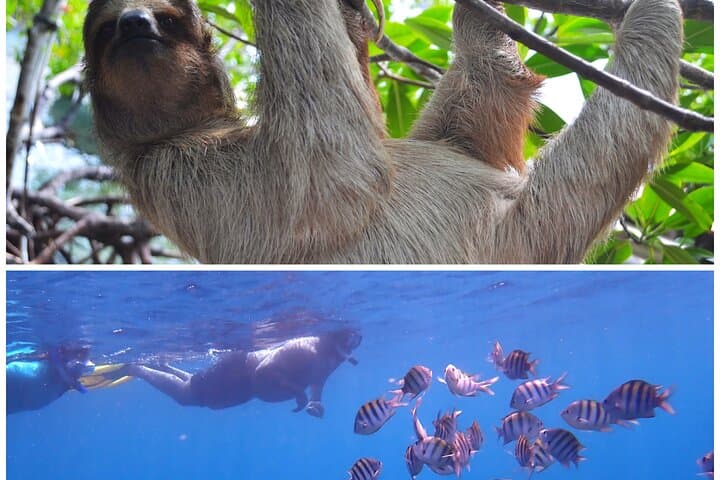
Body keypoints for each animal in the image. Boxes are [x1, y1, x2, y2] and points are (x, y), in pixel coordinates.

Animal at [82, 0, 682, 264]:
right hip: (524, 238)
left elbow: (462, 136)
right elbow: (334, 178)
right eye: (107, 30)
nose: (136, 24)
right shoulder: (183, 172)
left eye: (166, 18)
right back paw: (651, 15)